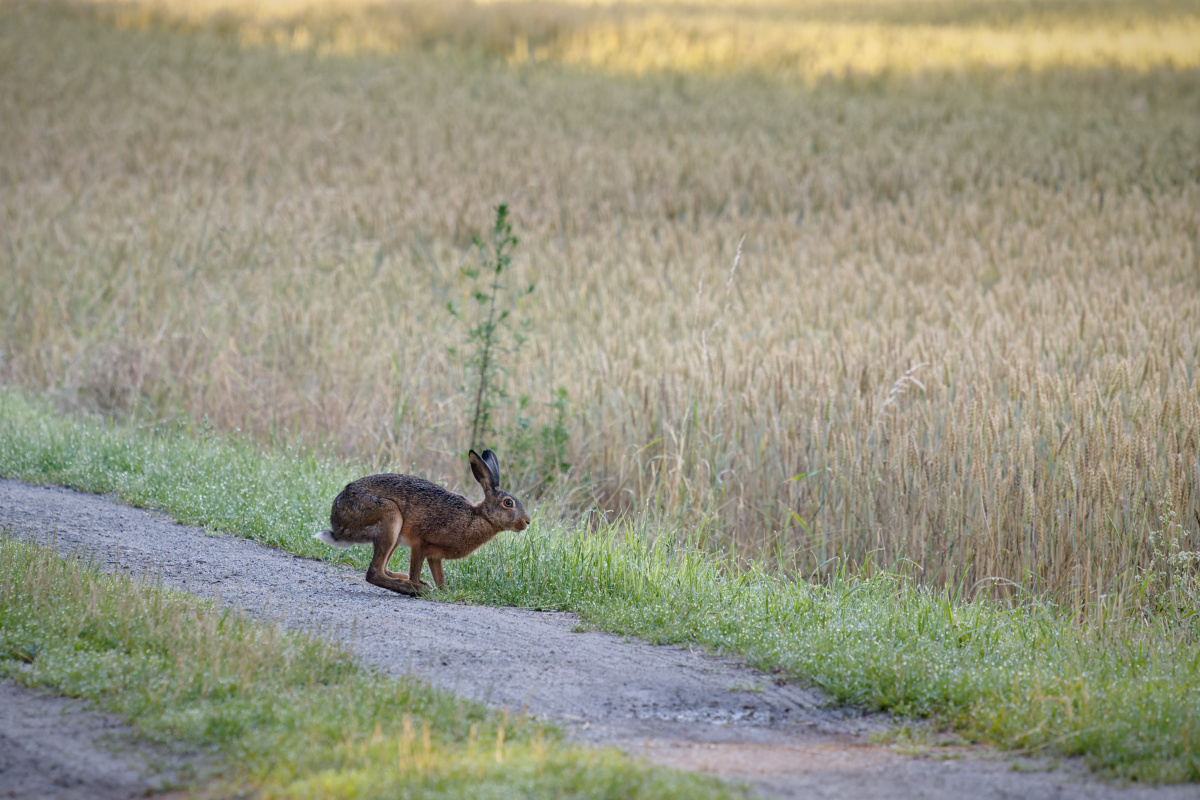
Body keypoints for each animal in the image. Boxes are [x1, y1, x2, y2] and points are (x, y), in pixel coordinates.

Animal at [314, 449, 529, 596]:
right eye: (508, 503)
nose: (527, 522)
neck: (475, 517)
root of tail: (338, 524)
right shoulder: (421, 543)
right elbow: (416, 569)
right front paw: (420, 587)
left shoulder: (435, 556)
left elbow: (439, 577)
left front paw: (445, 592)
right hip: (389, 517)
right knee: (374, 573)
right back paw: (413, 588)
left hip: (393, 534)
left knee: (383, 569)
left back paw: (411, 582)